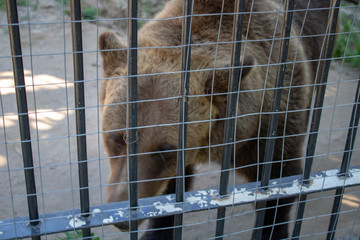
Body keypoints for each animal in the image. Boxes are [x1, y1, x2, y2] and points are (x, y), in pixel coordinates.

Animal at [99, 0, 334, 240]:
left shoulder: (273, 121)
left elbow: (280, 184)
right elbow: (171, 193)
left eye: (165, 151)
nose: (123, 219)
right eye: (116, 138)